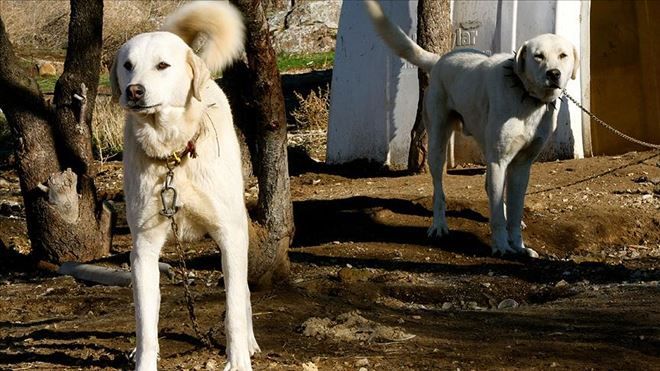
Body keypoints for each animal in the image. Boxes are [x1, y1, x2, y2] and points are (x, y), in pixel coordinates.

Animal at [111, 1, 258, 370]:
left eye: (162, 65)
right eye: (128, 65)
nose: (133, 91)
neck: (173, 154)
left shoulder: (230, 236)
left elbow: (234, 307)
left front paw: (238, 360)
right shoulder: (144, 247)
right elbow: (145, 319)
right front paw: (144, 361)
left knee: (243, 293)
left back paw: (249, 343)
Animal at [366, 0, 576, 258]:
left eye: (563, 55)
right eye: (538, 56)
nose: (554, 74)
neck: (524, 95)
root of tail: (441, 59)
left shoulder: (521, 166)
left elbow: (514, 211)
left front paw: (519, 246)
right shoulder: (498, 161)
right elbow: (497, 217)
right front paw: (501, 246)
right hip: (437, 146)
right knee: (439, 191)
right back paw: (439, 226)